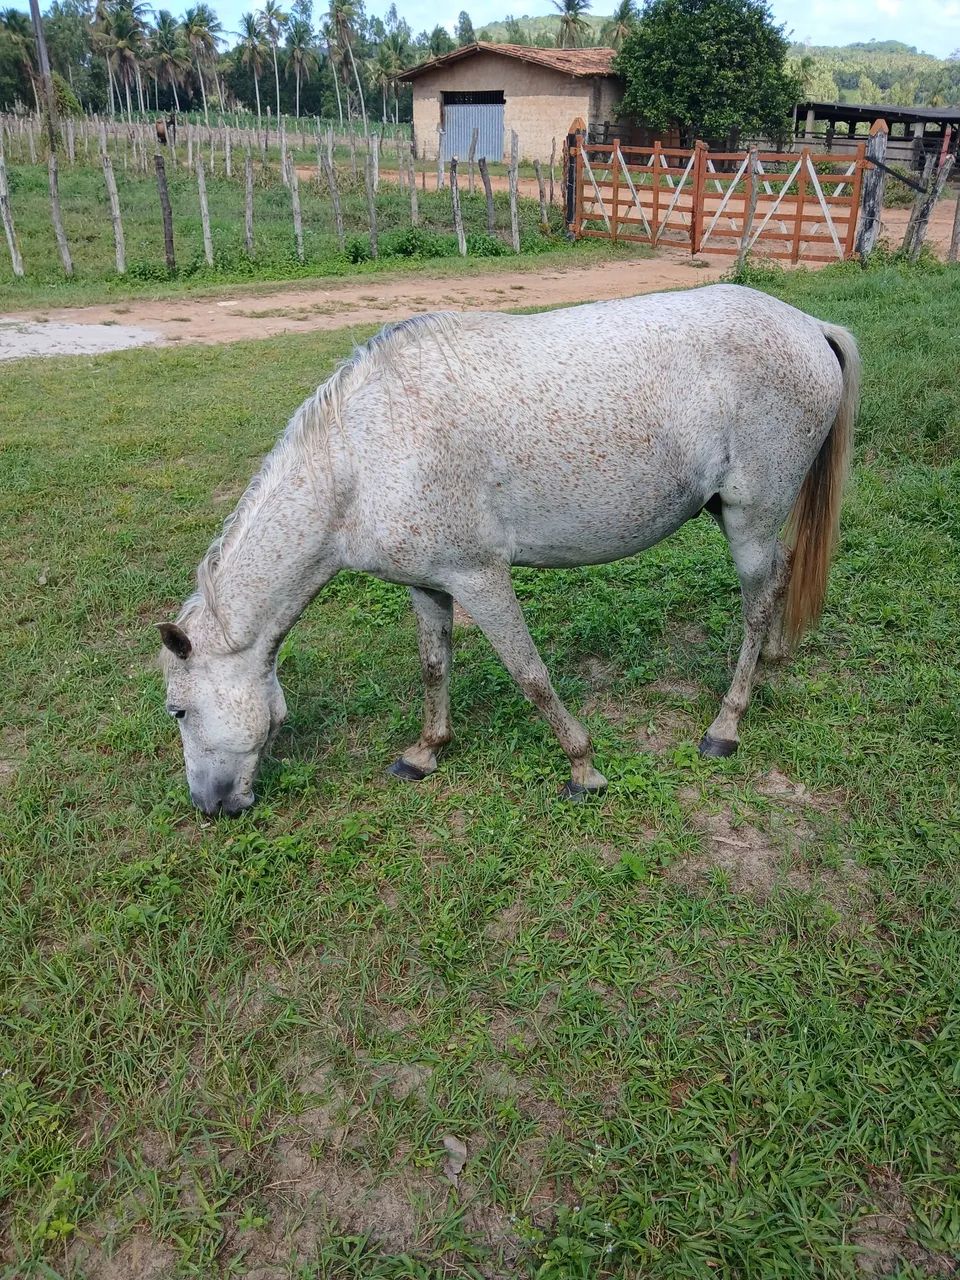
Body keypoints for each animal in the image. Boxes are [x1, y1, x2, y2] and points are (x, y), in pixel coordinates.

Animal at [159, 285, 858, 816]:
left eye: (178, 711)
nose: (208, 806)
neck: (359, 460)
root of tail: (809, 326)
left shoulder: (480, 578)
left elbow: (530, 674)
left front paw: (583, 768)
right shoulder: (427, 585)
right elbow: (434, 667)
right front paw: (425, 752)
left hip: (748, 521)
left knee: (756, 600)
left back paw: (726, 724)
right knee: (777, 583)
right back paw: (774, 659)